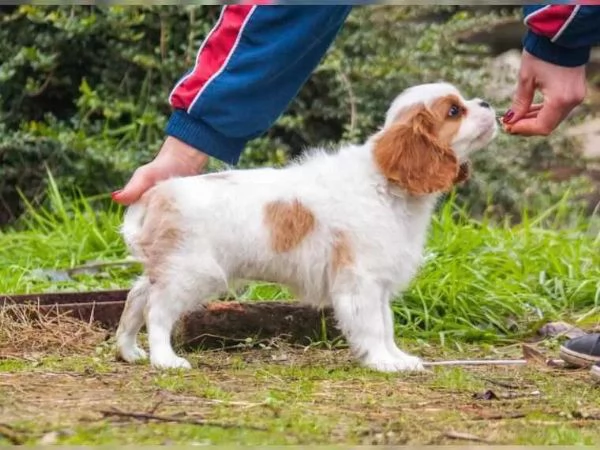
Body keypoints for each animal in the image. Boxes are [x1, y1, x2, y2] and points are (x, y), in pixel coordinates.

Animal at [115, 82, 494, 370]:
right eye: (454, 111)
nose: (487, 103)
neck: (387, 185)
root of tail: (157, 193)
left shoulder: (380, 284)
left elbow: (386, 324)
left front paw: (398, 358)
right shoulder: (361, 281)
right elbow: (373, 326)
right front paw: (383, 362)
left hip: (168, 268)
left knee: (136, 297)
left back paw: (129, 351)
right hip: (191, 272)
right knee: (157, 312)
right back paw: (165, 360)